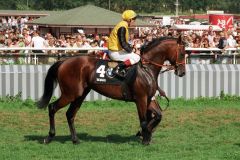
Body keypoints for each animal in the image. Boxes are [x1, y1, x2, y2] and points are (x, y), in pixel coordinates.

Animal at [37, 36, 187, 145]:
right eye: (182, 53)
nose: (182, 73)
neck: (146, 68)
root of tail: (63, 62)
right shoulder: (140, 99)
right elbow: (144, 120)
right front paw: (145, 138)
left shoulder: (149, 99)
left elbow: (158, 115)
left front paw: (145, 134)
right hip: (70, 94)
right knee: (52, 107)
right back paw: (49, 137)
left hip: (80, 95)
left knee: (70, 114)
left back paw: (75, 139)